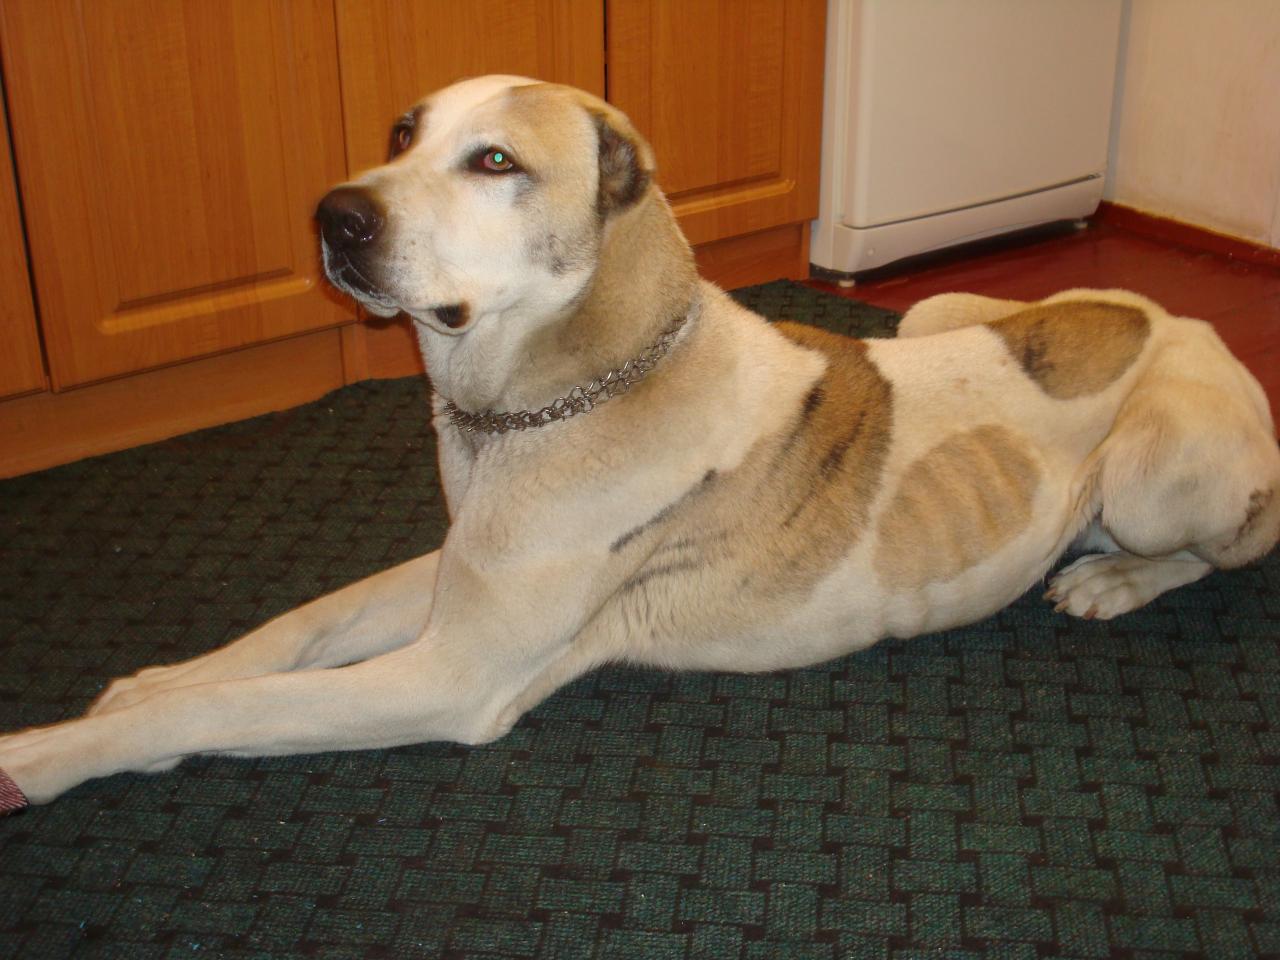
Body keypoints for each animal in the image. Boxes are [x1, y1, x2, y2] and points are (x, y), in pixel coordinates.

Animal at [1, 75, 1277, 812]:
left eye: (496, 162)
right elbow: (294, 630)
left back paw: (1109, 577)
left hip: (1152, 470)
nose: (334, 216)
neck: (532, 405)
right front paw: (145, 683)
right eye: (402, 132)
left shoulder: (452, 674)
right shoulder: (459, 572)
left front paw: (41, 754)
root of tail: (1189, 321)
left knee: (1229, 546)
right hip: (931, 312)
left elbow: (232, 713)